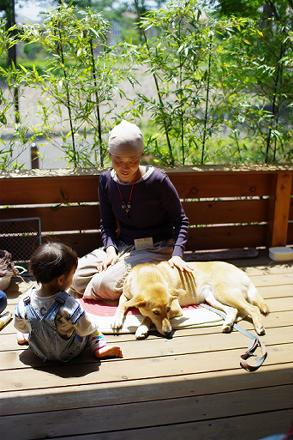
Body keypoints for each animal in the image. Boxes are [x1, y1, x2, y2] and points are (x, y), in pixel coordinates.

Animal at [111, 262, 266, 340]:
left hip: (225, 293)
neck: (148, 276)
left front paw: (142, 328)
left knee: (252, 308)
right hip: (213, 298)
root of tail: (242, 272)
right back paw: (228, 324)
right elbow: (121, 305)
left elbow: (146, 317)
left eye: (168, 309)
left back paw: (259, 327)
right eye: (156, 312)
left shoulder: (176, 308)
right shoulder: (125, 295)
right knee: (233, 310)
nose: (169, 332)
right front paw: (117, 320)